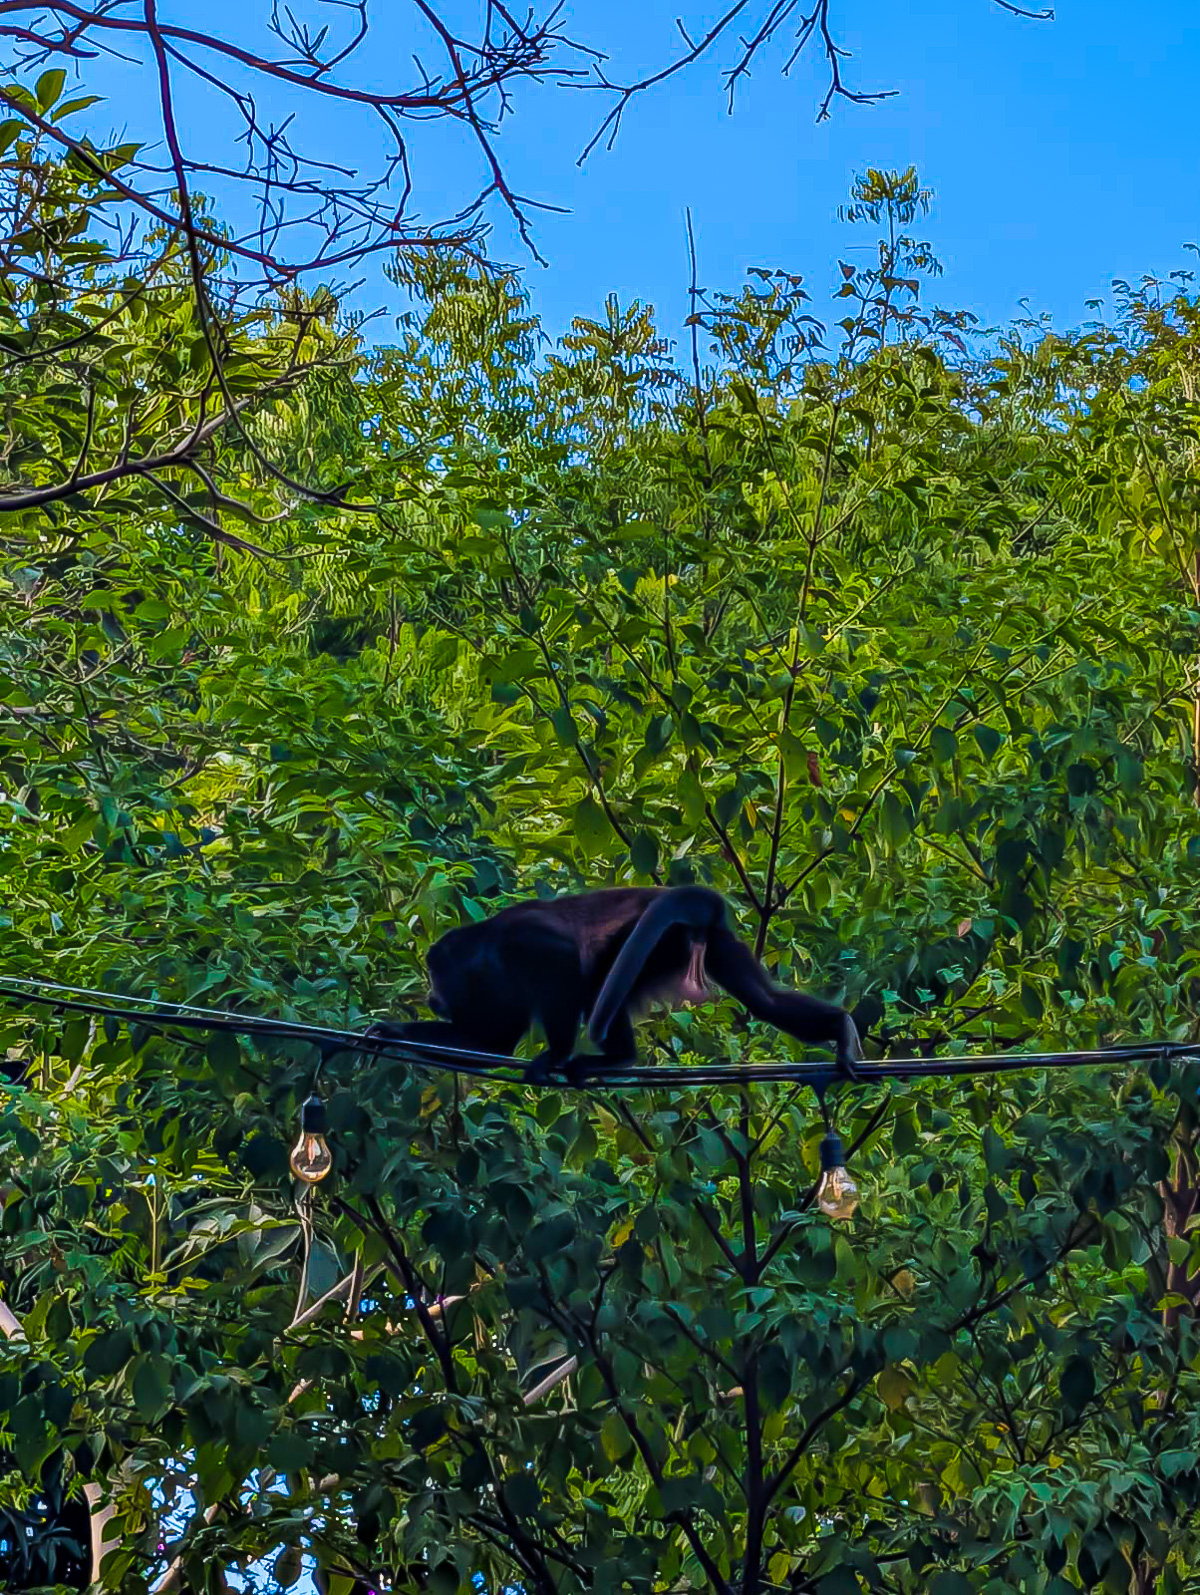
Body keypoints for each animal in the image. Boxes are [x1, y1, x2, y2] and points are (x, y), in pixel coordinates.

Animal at [365, 885, 861, 1082]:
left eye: (436, 974)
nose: (433, 996)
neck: (484, 954)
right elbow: (493, 1045)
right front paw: (390, 1031)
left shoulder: (526, 943)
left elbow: (563, 964)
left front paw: (555, 1055)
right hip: (712, 943)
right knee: (764, 1001)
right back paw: (840, 1029)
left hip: (656, 940)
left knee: (596, 983)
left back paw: (610, 1058)